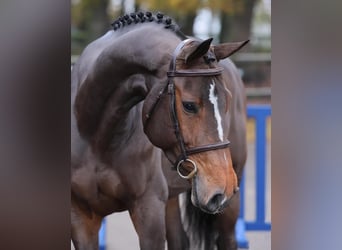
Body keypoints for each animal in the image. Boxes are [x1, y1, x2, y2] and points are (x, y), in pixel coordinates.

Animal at [71, 10, 247, 249]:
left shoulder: (149, 210)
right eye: (189, 105)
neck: (94, 136)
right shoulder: (81, 217)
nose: (223, 187)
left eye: (226, 101)